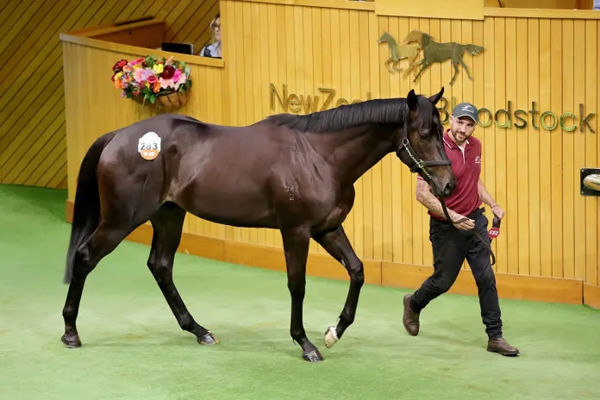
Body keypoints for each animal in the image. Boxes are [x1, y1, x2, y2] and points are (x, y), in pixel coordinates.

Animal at [61, 88, 454, 362]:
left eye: (442, 130)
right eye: (423, 133)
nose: (448, 185)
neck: (318, 156)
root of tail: (117, 136)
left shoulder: (326, 228)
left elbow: (357, 271)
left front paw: (334, 331)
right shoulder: (296, 231)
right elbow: (297, 285)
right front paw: (306, 343)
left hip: (169, 215)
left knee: (160, 266)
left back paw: (199, 330)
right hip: (120, 221)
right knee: (85, 257)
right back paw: (70, 332)